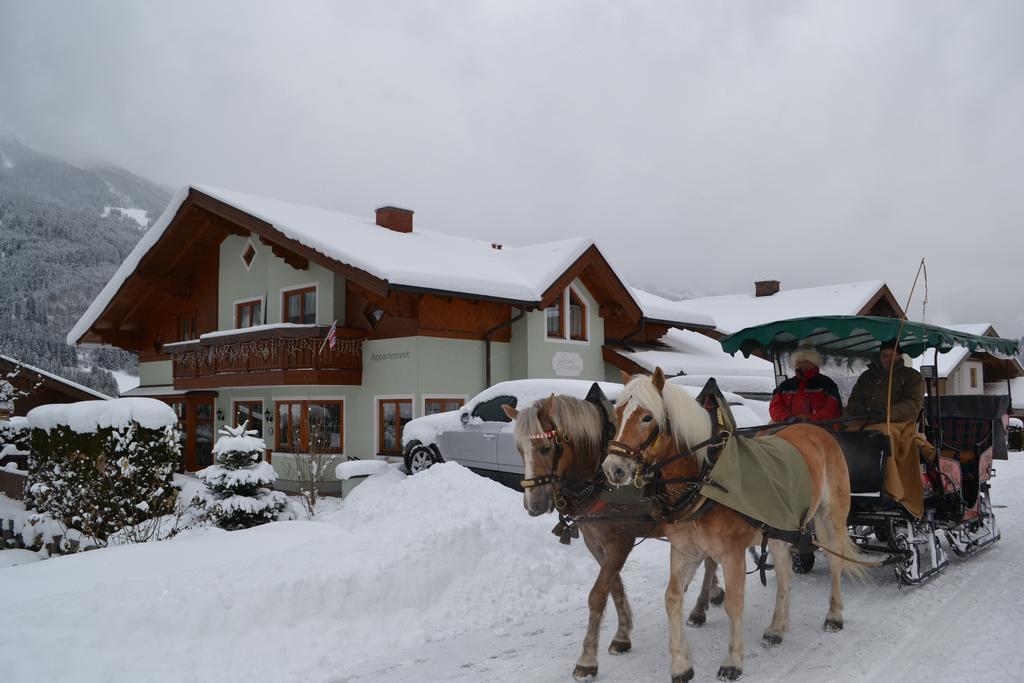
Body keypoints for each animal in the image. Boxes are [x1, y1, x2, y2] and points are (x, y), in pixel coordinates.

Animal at [602, 370, 868, 679]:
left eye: (647, 417)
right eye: (617, 414)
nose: (613, 468)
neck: (704, 481)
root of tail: (817, 431)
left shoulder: (732, 555)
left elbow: (734, 603)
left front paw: (733, 660)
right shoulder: (684, 551)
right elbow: (672, 598)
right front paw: (681, 664)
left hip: (831, 516)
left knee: (836, 562)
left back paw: (834, 615)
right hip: (779, 529)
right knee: (785, 572)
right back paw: (777, 628)